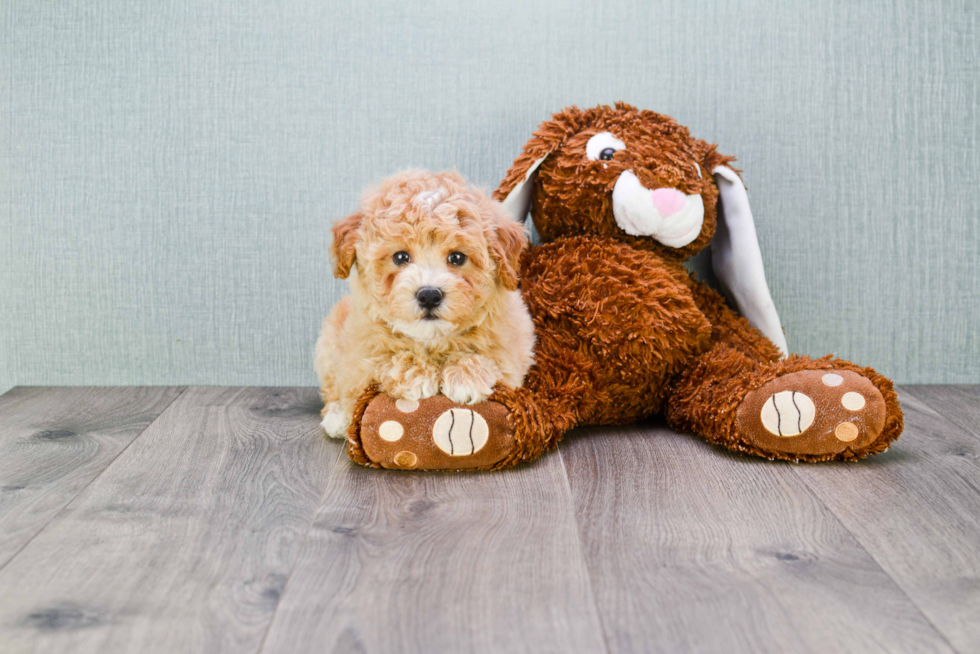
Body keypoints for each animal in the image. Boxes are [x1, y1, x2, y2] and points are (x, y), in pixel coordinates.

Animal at [316, 172, 536, 444]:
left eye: (457, 258)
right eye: (400, 257)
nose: (429, 295)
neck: (434, 341)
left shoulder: (515, 347)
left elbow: (493, 357)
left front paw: (466, 376)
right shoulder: (358, 354)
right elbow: (381, 360)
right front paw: (416, 374)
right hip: (328, 342)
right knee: (332, 389)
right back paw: (336, 418)